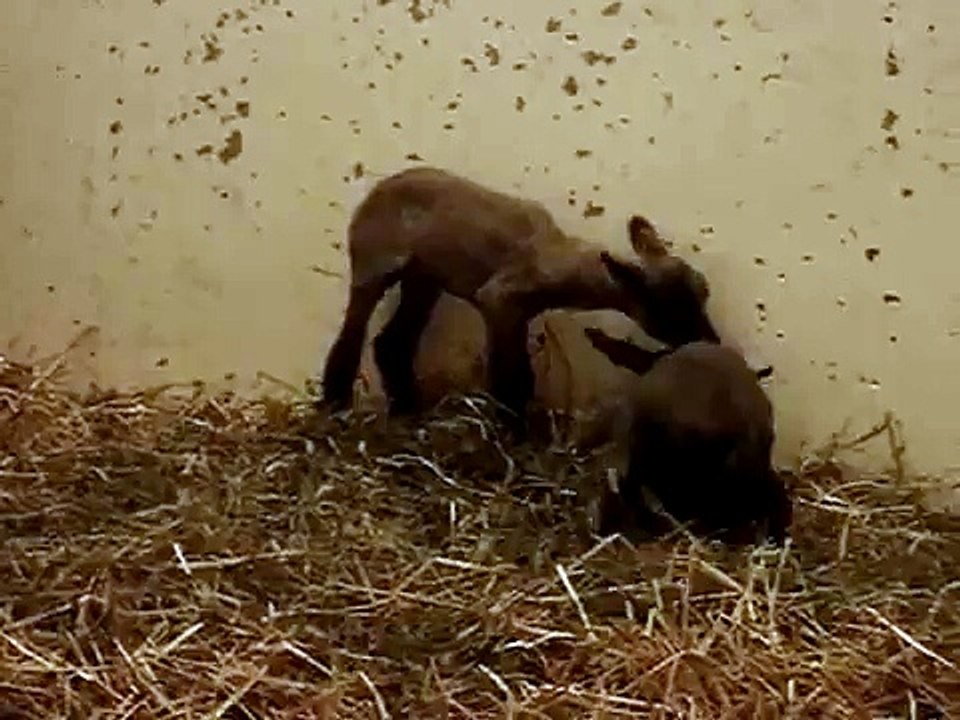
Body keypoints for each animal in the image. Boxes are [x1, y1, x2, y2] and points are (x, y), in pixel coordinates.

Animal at [319, 165, 721, 429]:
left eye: (704, 289)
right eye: (668, 311)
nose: (711, 341)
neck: (556, 255)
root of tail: (371, 194)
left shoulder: (518, 313)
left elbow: (521, 375)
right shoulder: (498, 300)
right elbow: (510, 377)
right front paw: (510, 432)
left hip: (424, 277)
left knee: (393, 341)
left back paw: (406, 407)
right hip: (374, 263)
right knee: (354, 330)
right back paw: (335, 401)